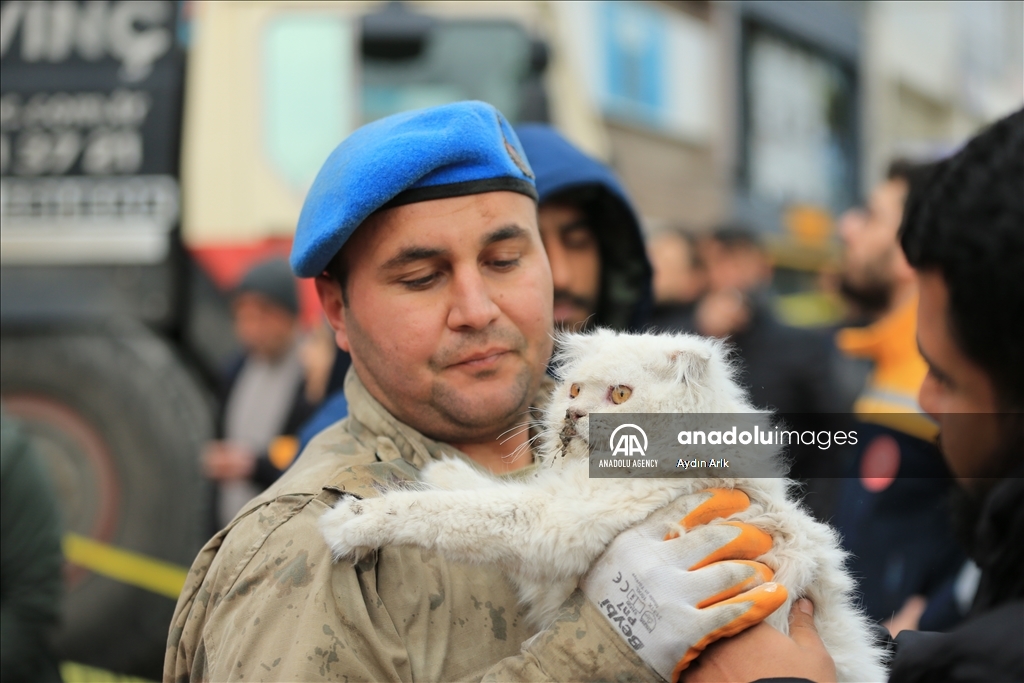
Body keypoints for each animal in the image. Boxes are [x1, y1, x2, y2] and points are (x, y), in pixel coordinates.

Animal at [321, 331, 888, 683]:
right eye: (573, 389)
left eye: (619, 394)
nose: (573, 413)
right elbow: (476, 491)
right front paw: (442, 468)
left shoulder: (553, 524)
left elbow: (446, 512)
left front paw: (351, 522)